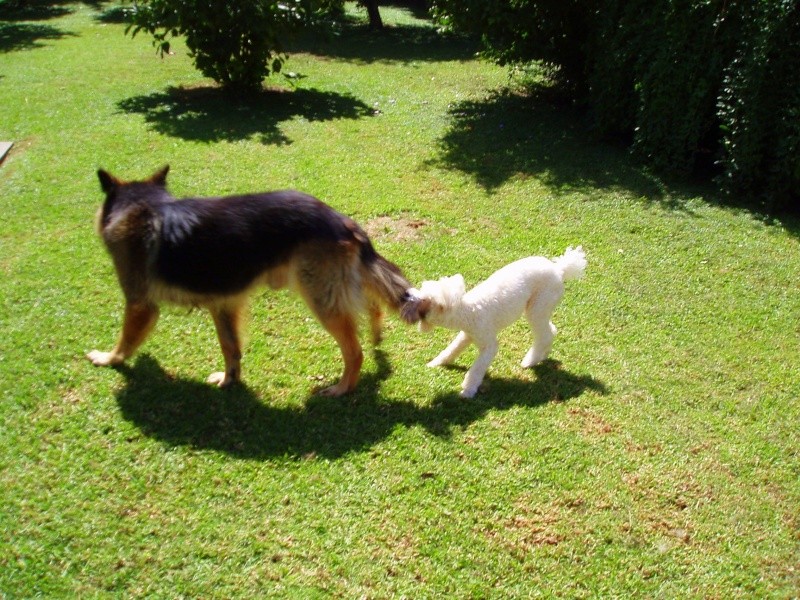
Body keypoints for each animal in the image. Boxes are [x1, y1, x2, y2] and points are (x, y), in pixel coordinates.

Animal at [404, 248, 584, 398]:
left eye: (423, 302)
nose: (406, 296)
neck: (466, 310)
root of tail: (559, 269)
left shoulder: (488, 344)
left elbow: (477, 369)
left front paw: (468, 391)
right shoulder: (467, 335)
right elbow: (451, 350)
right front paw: (436, 363)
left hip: (537, 307)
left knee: (544, 335)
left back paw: (530, 361)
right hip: (541, 310)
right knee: (550, 330)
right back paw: (543, 354)